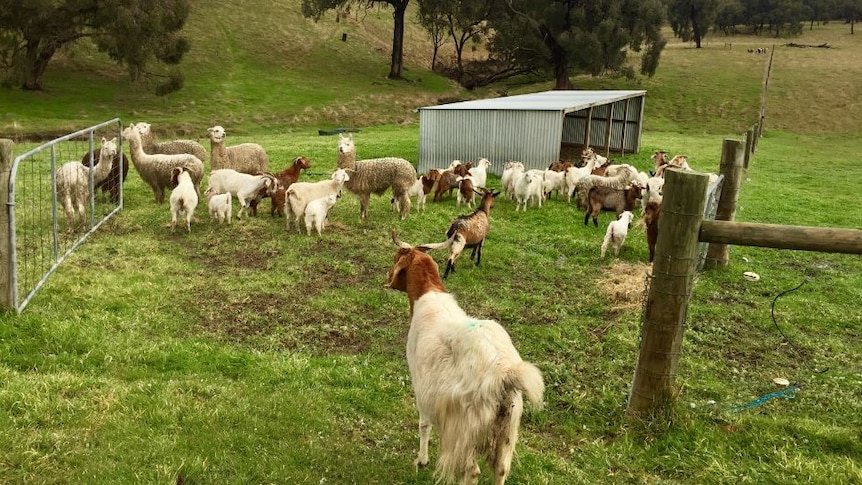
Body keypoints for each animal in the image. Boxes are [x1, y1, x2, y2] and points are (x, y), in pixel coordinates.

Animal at [386, 232, 544, 484]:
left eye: (396, 257)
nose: (387, 277)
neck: (428, 296)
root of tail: (505, 374)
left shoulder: (423, 387)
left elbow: (423, 425)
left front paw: (421, 460)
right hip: (508, 428)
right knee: (501, 468)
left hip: (467, 427)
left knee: (472, 471)